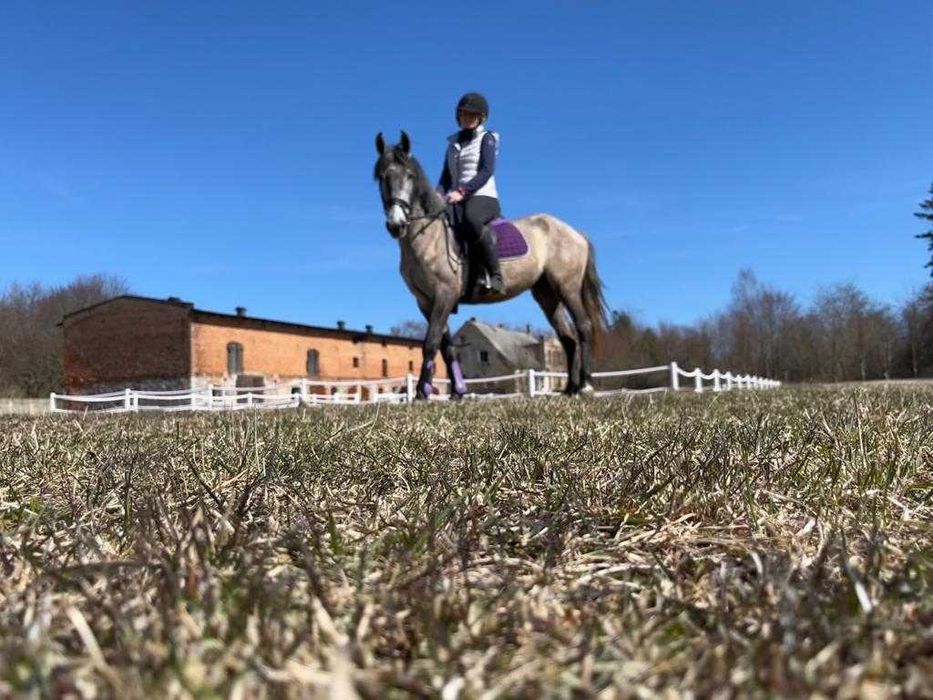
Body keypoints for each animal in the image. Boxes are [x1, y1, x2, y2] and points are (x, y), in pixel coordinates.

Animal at [374, 131, 608, 400]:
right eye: (382, 177)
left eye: (410, 176)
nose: (396, 224)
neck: (429, 235)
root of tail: (575, 232)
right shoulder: (426, 301)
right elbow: (447, 347)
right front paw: (458, 392)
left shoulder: (444, 294)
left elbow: (431, 342)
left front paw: (423, 393)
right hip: (547, 295)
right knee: (568, 338)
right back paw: (570, 388)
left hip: (567, 288)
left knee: (583, 328)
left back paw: (585, 385)